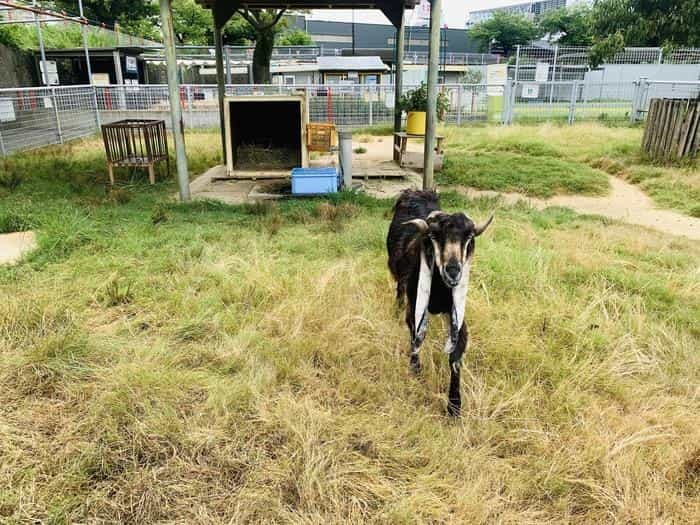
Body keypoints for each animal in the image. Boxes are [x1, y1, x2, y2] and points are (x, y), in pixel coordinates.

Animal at [386, 190, 494, 416]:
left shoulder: (456, 313)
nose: (453, 270)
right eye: (434, 236)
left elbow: (456, 355)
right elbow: (416, 334)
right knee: (399, 287)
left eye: (469, 237)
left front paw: (454, 406)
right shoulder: (415, 306)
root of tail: (416, 191)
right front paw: (415, 369)